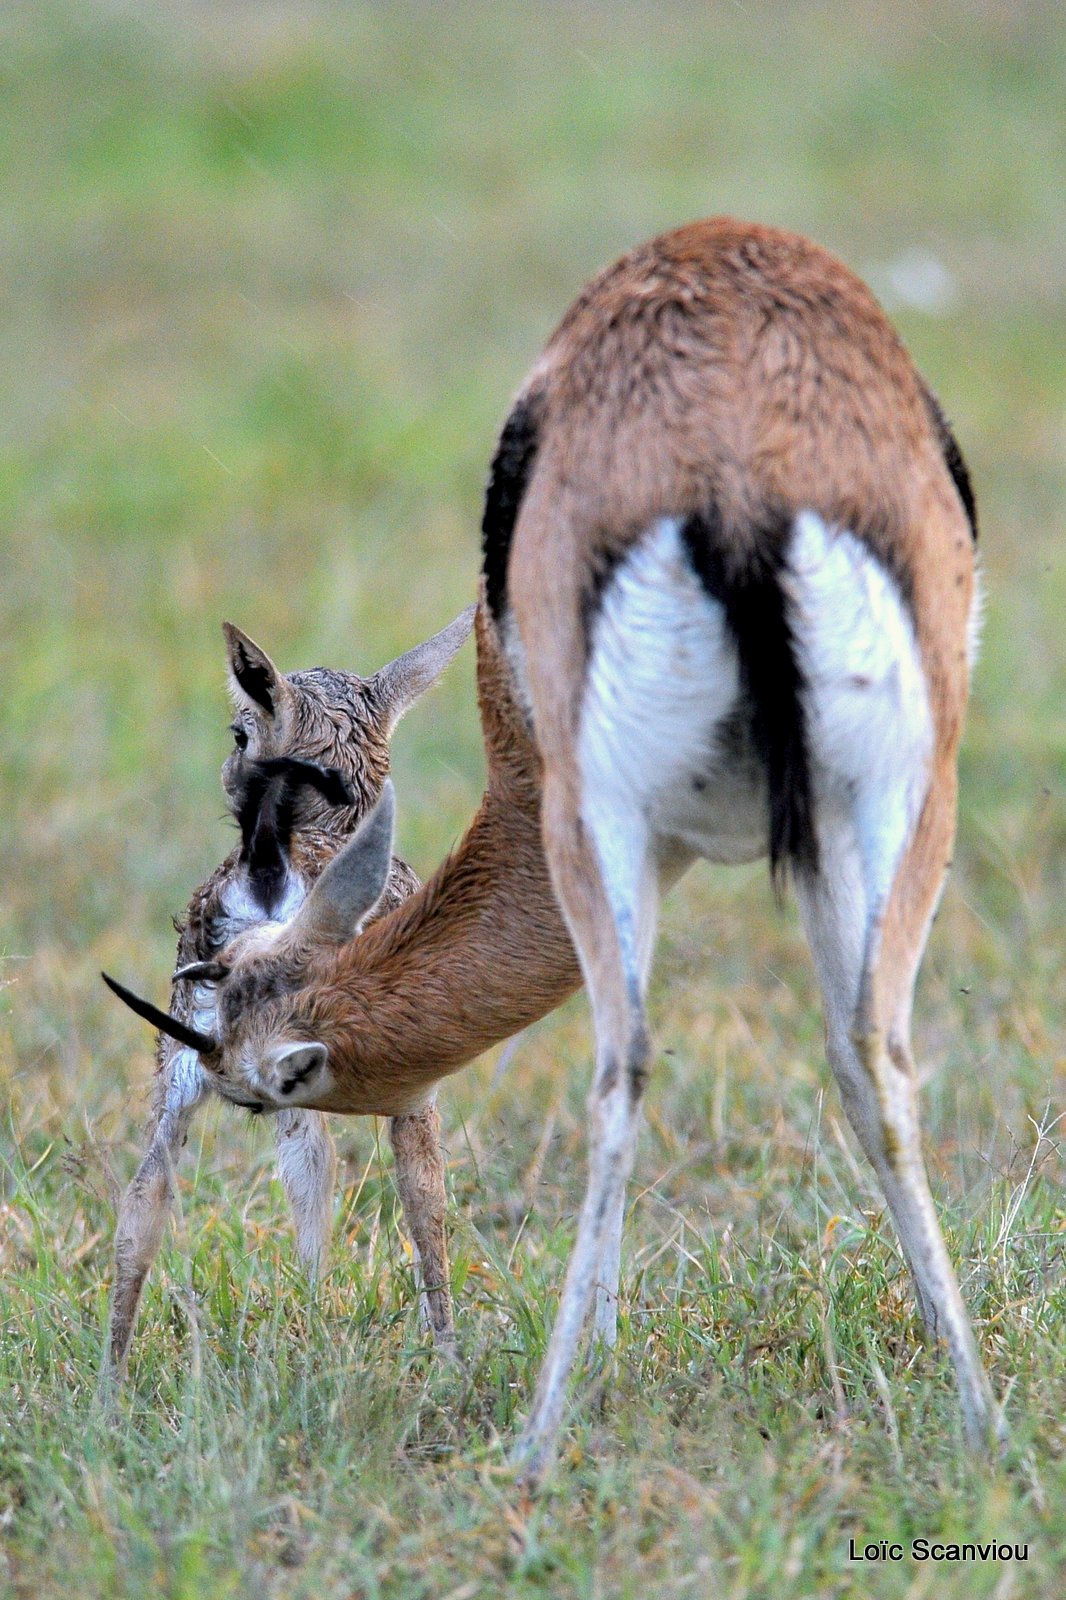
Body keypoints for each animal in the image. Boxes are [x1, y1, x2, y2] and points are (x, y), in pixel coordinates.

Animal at [102, 604, 470, 1382]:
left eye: (241, 732)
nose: (228, 771)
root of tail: (270, 867)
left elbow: (309, 1182)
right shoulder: (412, 1086)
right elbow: (423, 1200)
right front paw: (447, 1360)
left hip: (186, 1065)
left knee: (142, 1200)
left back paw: (109, 1389)